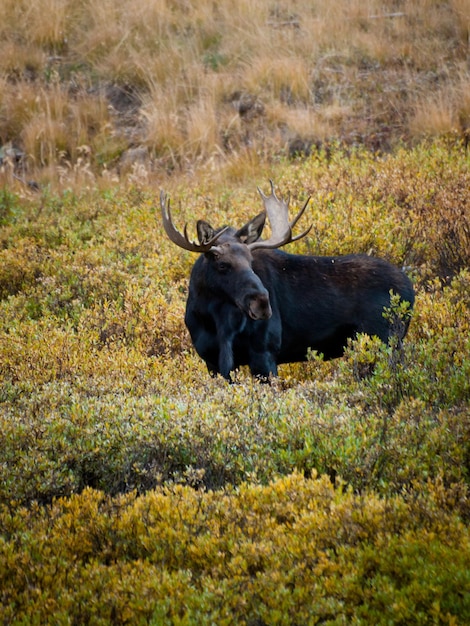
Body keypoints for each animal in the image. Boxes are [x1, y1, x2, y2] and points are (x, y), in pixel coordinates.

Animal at [160, 180, 414, 380]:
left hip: (384, 340)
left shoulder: (264, 353)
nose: (262, 303)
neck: (213, 318)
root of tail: (411, 290)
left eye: (250, 260)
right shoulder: (212, 361)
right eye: (222, 264)